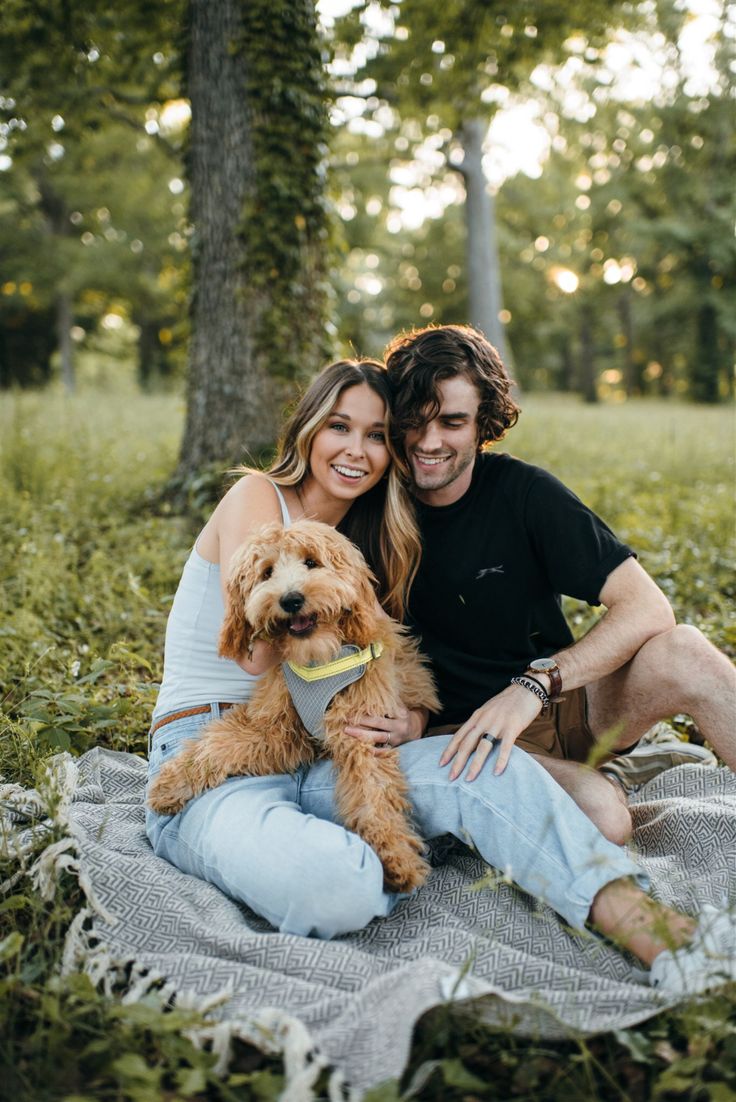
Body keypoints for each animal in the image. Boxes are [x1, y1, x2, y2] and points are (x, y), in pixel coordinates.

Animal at [146, 517, 440, 894]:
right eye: (267, 572)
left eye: (311, 562)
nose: (291, 599)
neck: (319, 659)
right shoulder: (275, 729)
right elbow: (220, 742)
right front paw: (170, 785)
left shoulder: (363, 732)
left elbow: (373, 792)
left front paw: (396, 858)